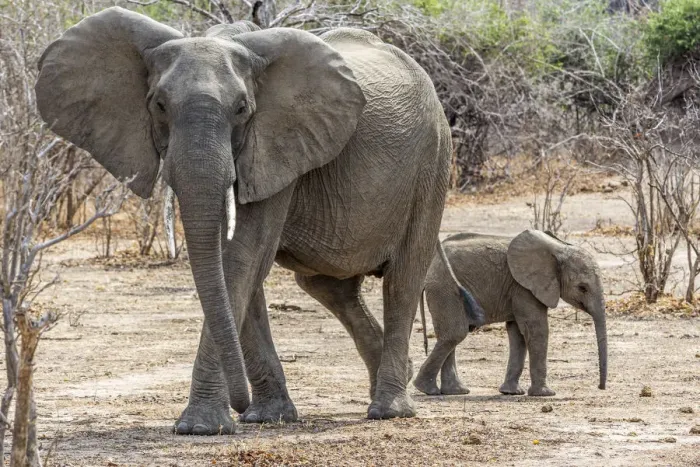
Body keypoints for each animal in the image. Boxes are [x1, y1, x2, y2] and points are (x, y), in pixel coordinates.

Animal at [35, 7, 481, 435]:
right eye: (159, 105)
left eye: (241, 109)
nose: (241, 402)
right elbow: (234, 266)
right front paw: (268, 417)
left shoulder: (275, 140)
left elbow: (242, 257)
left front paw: (201, 427)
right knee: (329, 287)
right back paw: (392, 383)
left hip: (433, 162)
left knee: (403, 278)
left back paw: (390, 410)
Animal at [413, 230, 607, 397]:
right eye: (582, 288)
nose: (600, 387)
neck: (559, 248)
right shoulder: (523, 288)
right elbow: (537, 330)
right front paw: (545, 394)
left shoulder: (519, 289)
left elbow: (517, 334)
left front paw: (511, 392)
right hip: (445, 289)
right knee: (455, 333)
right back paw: (427, 389)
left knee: (449, 335)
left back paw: (455, 391)